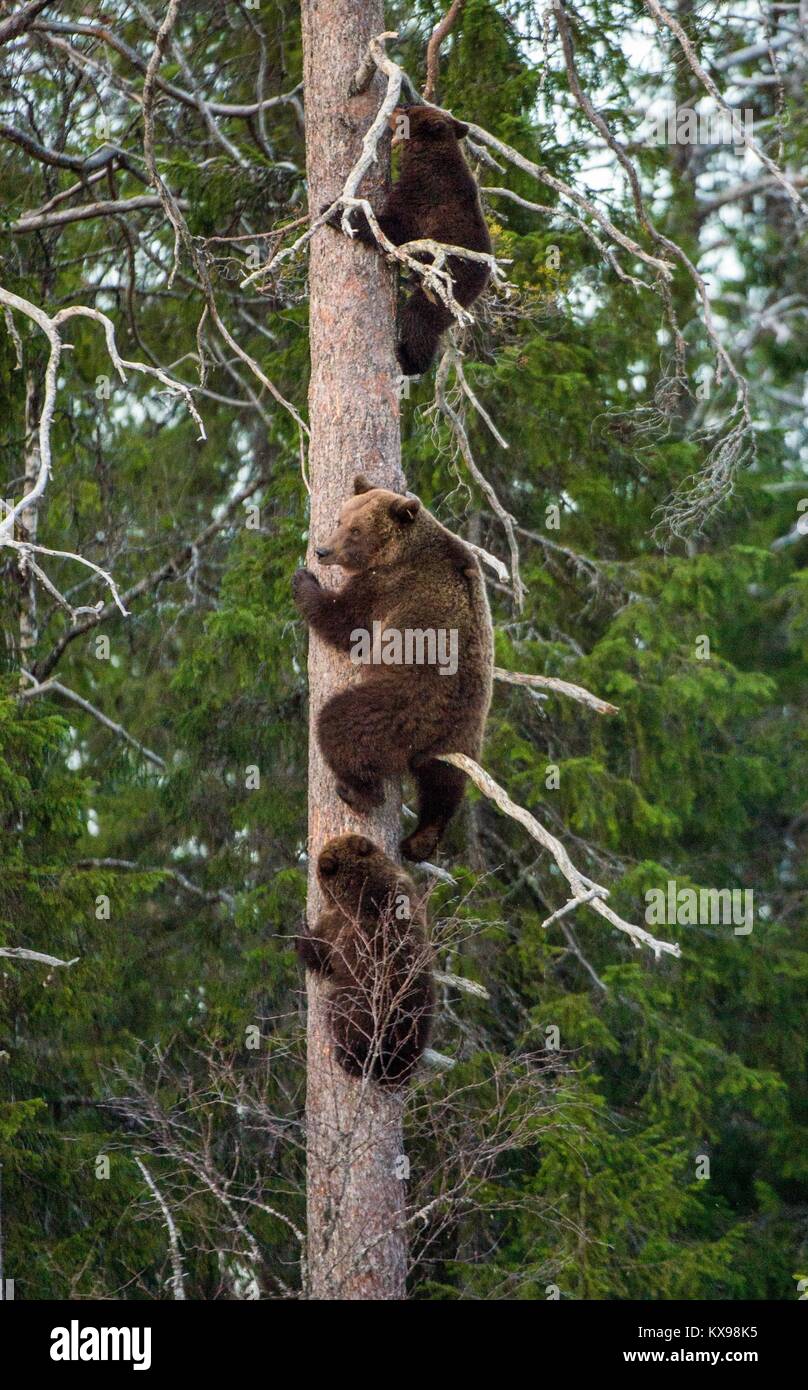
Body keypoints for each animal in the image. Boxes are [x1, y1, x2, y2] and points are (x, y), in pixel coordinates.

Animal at [289, 483, 492, 861]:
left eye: (355, 529)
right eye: (340, 520)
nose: (323, 551)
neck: (402, 550)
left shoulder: (386, 588)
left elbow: (344, 622)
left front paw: (302, 580)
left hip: (399, 705)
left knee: (342, 724)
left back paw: (359, 792)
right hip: (463, 740)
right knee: (443, 788)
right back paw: (420, 840)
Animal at [296, 828, 433, 1089]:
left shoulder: (338, 924)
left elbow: (319, 953)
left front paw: (301, 929)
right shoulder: (406, 887)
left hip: (357, 1001)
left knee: (342, 1019)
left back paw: (348, 1059)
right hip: (421, 1014)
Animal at [322, 104, 489, 375]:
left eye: (409, 109)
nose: (396, 106)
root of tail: (483, 280)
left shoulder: (424, 195)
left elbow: (393, 227)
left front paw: (335, 211)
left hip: (451, 285)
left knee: (421, 318)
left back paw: (409, 360)